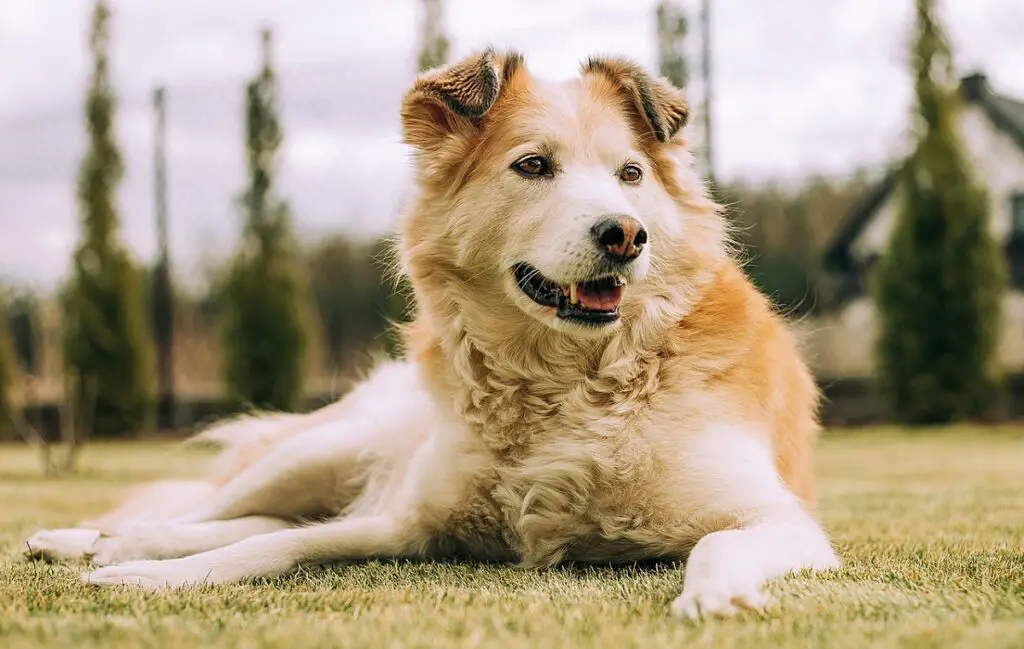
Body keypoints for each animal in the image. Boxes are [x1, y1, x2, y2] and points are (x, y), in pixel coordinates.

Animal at [24, 49, 839, 618]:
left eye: (632, 174)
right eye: (533, 165)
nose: (626, 234)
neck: (571, 382)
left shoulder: (783, 521)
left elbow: (717, 543)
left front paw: (716, 595)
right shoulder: (406, 523)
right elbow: (276, 543)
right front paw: (150, 574)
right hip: (319, 450)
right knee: (207, 510)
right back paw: (88, 541)